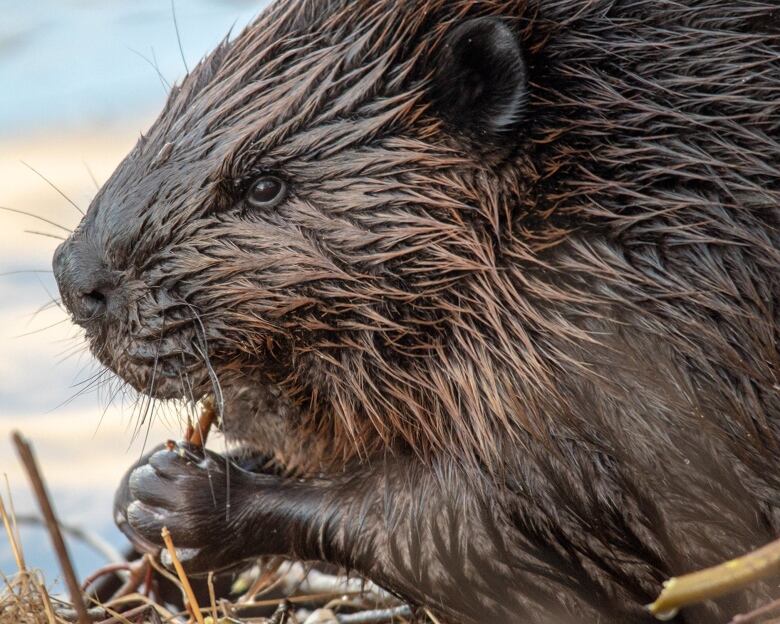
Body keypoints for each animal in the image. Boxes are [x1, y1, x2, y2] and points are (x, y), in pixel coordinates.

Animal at [53, 1, 780, 624]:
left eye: (263, 185)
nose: (74, 278)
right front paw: (137, 490)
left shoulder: (632, 343)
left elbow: (489, 535)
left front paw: (179, 496)